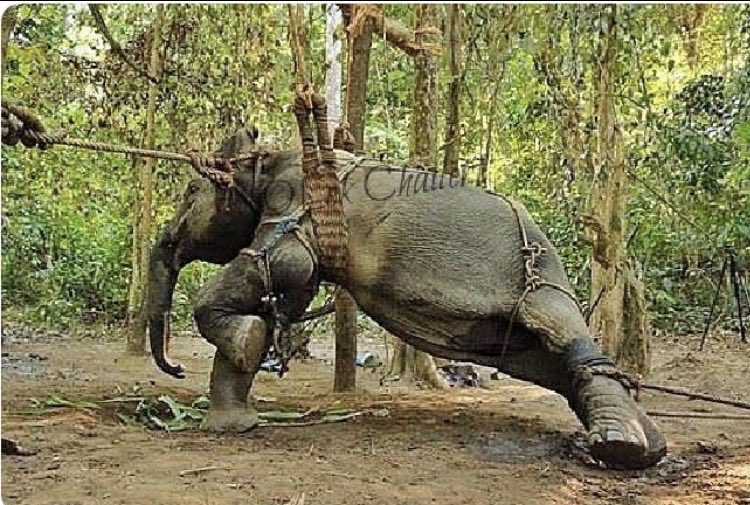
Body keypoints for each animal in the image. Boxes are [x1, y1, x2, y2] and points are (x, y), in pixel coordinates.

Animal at [146, 130, 667, 470]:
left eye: (189, 191)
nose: (175, 369)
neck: (269, 155)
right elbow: (286, 291)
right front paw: (235, 420)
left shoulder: (292, 208)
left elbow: (286, 267)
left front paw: (244, 341)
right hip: (513, 327)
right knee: (551, 362)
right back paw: (648, 447)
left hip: (539, 283)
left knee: (566, 339)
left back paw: (620, 446)